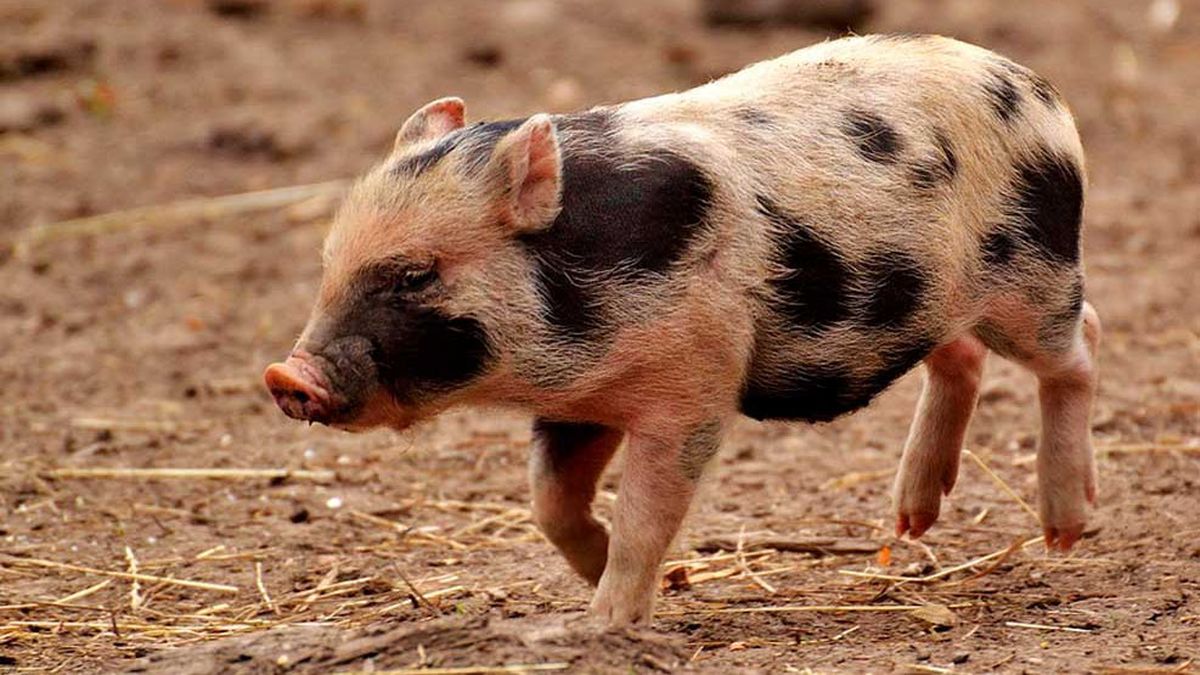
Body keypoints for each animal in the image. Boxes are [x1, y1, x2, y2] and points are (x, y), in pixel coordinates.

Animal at [264, 34, 1100, 626]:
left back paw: (1065, 533)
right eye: (329, 263)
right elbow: (549, 502)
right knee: (961, 355)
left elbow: (646, 511)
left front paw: (604, 624)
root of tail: (1042, 93)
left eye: (416, 274)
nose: (286, 376)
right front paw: (663, 581)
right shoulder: (579, 401)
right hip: (937, 300)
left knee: (1081, 343)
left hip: (1035, 276)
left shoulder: (693, 392)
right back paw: (911, 520)